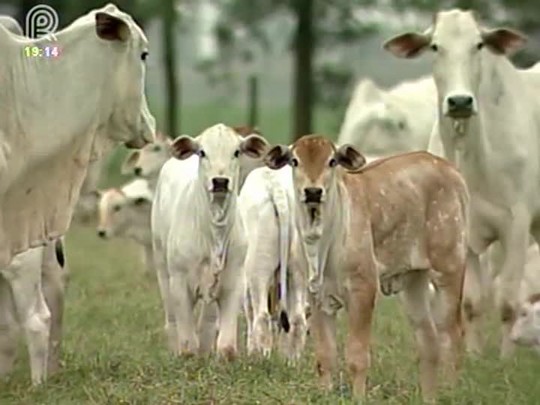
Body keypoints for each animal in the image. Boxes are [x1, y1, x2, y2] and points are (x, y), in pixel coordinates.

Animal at [150, 122, 268, 356]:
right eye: (202, 152)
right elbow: (188, 344)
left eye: (236, 152)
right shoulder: (179, 283)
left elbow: (227, 346)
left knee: (207, 320)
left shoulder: (234, 282)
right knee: (171, 319)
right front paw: (186, 354)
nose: (220, 181)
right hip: (162, 267)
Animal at [264, 135, 468, 400]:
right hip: (414, 282)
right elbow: (325, 356)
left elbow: (357, 356)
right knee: (428, 341)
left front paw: (358, 397)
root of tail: (450, 170)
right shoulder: (317, 297)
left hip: (449, 269)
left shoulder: (363, 290)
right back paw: (429, 397)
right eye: (295, 161)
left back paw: (451, 391)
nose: (313, 192)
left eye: (332, 161)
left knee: (452, 335)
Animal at [384, 8, 540, 356]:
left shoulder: (517, 225)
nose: (459, 102)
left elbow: (508, 302)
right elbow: (471, 303)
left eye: (479, 45)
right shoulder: (461, 231)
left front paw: (505, 359)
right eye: (435, 46)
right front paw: (474, 356)